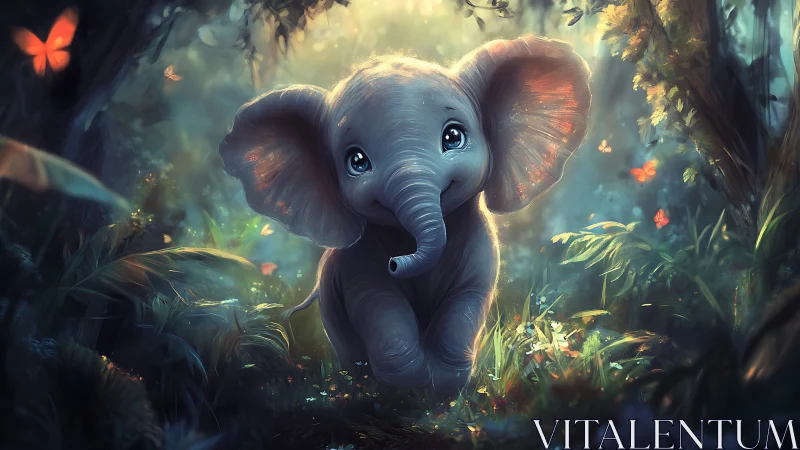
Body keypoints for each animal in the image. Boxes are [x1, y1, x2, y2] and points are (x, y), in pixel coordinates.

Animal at [219, 35, 591, 394]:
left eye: (453, 136)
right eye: (357, 161)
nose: (396, 262)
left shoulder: (480, 254)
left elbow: (464, 307)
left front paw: (441, 388)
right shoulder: (358, 266)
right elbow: (382, 311)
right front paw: (412, 387)